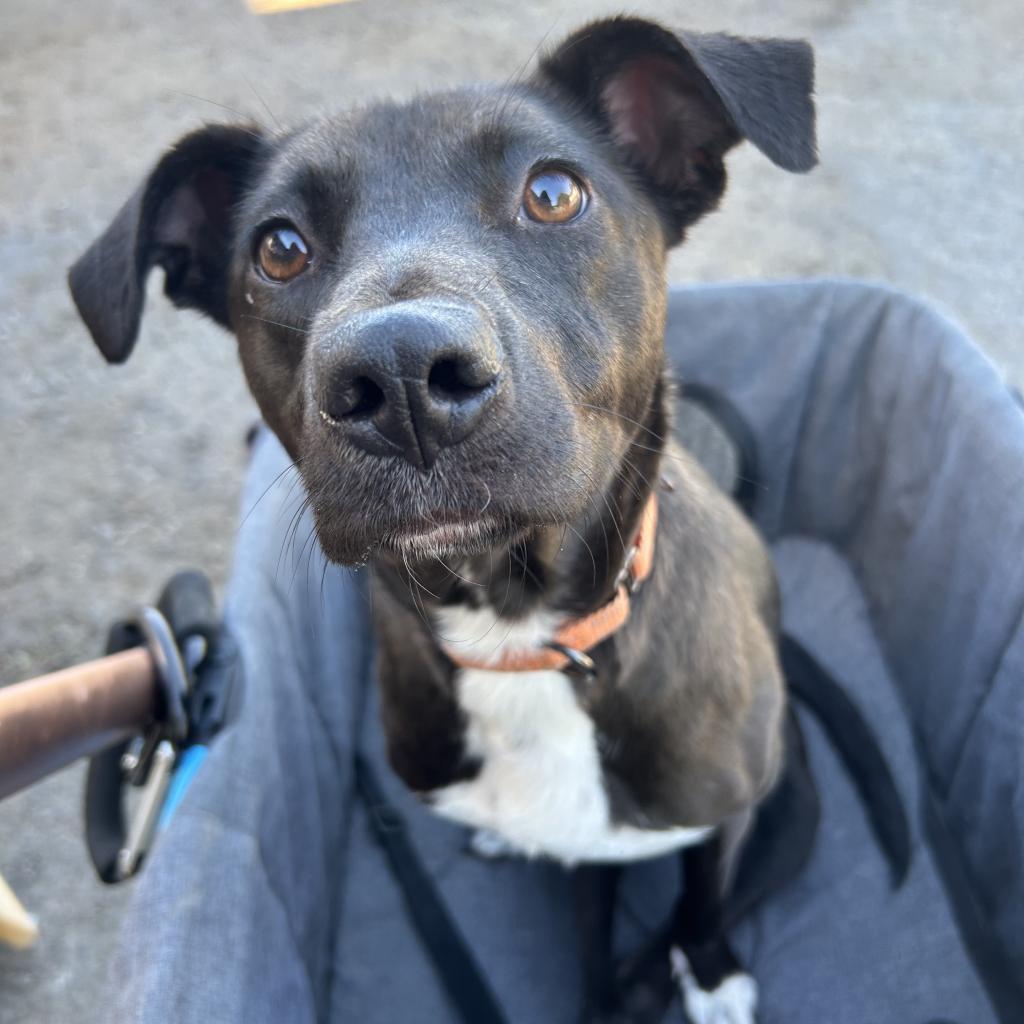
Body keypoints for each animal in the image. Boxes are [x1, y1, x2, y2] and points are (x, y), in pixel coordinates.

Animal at [70, 18, 823, 1024]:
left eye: (554, 192)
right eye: (279, 248)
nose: (399, 378)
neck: (520, 633)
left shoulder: (729, 804)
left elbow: (702, 895)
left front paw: (705, 972)